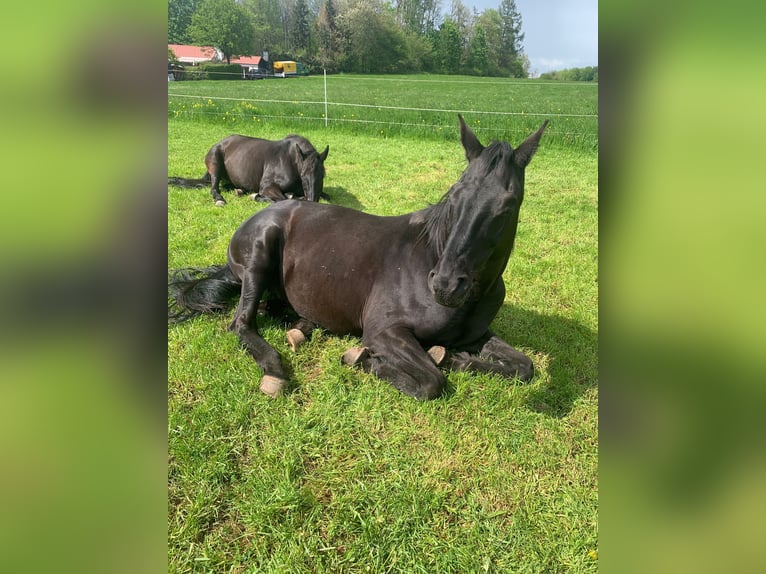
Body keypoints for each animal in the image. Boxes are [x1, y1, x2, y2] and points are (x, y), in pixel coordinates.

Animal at [168, 134, 329, 206]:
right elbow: (281, 199)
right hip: (215, 165)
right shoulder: (268, 187)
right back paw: (220, 199)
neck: (291, 161)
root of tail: (221, 142)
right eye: (303, 175)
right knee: (214, 188)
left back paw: (239, 190)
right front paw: (256, 196)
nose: (313, 200)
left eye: (323, 176)